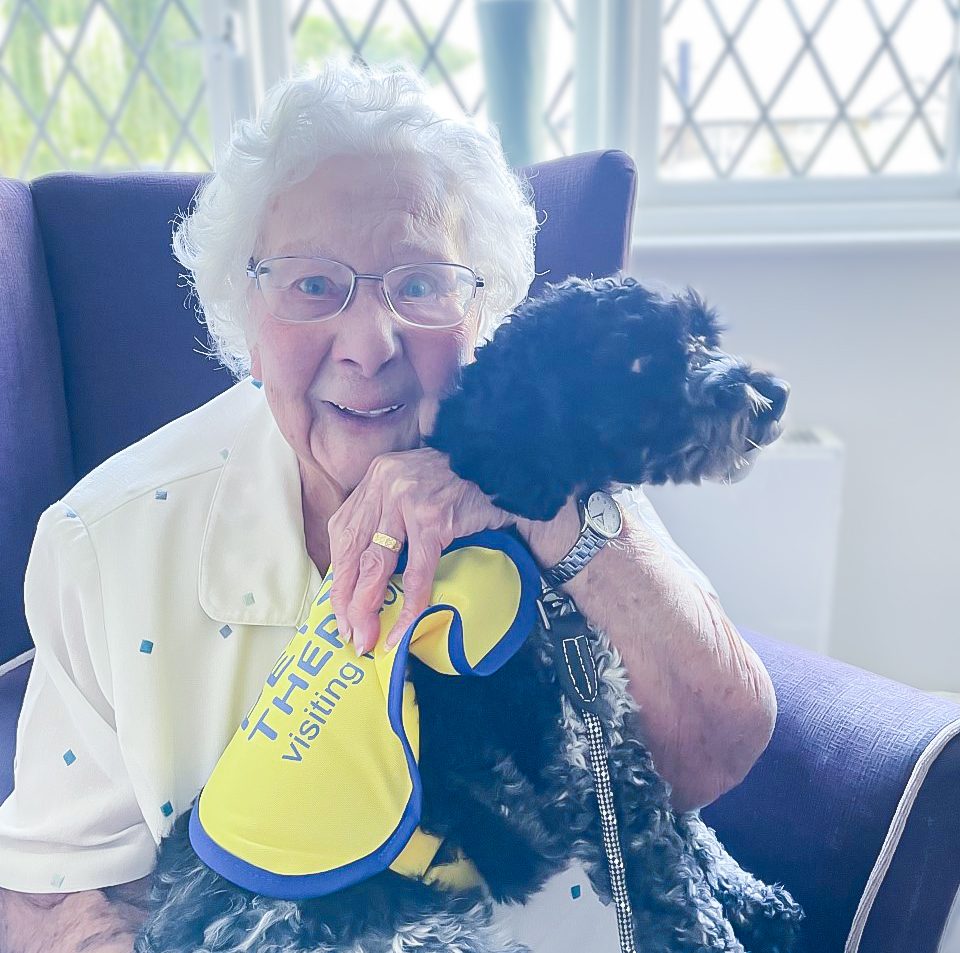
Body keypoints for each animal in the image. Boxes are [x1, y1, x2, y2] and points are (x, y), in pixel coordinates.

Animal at [131, 276, 800, 952]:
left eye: (703, 336)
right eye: (636, 359)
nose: (772, 395)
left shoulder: (609, 723)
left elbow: (688, 822)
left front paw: (751, 895)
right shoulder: (581, 774)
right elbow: (674, 886)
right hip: (420, 933)